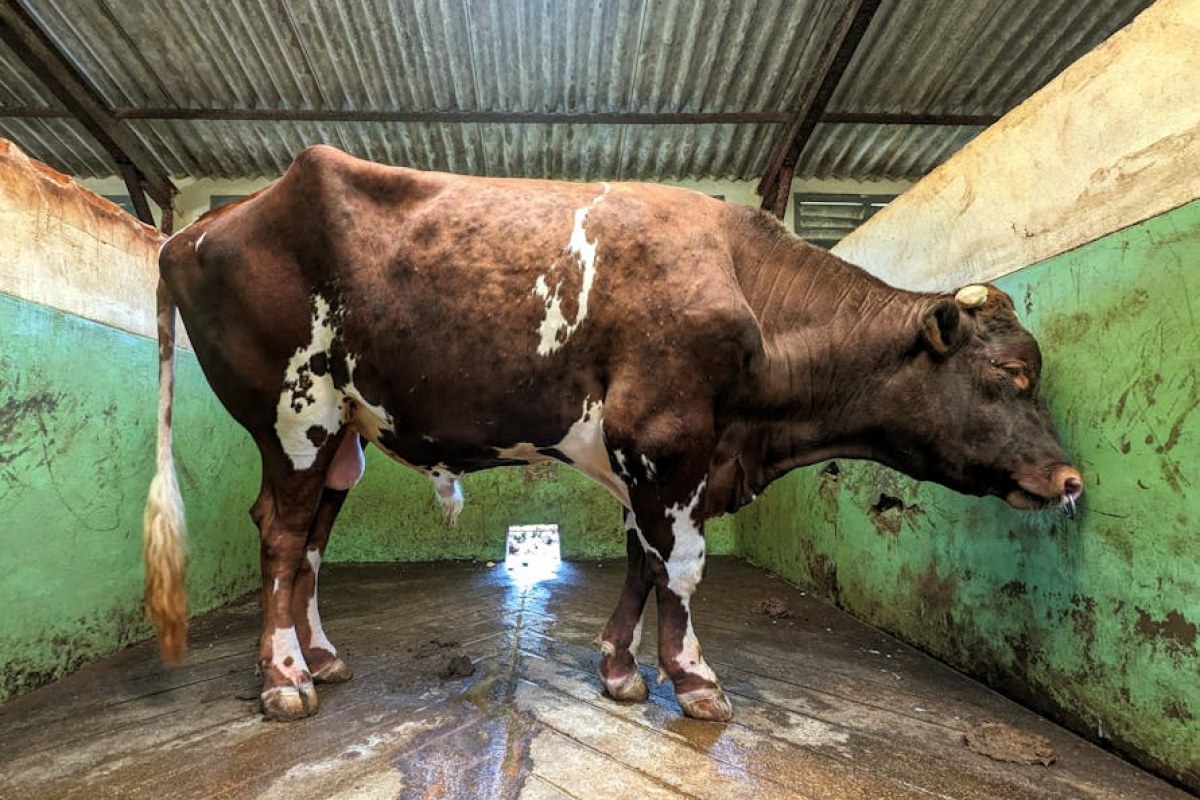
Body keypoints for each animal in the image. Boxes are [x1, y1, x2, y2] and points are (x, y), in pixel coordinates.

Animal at [144, 145, 1083, 722]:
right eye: (1012, 375)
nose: (1070, 480)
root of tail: (197, 226)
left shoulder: (649, 459)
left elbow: (643, 561)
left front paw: (620, 668)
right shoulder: (669, 439)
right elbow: (684, 567)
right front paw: (694, 678)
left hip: (346, 433)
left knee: (310, 541)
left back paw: (323, 657)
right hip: (294, 414)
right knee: (280, 534)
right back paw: (283, 680)